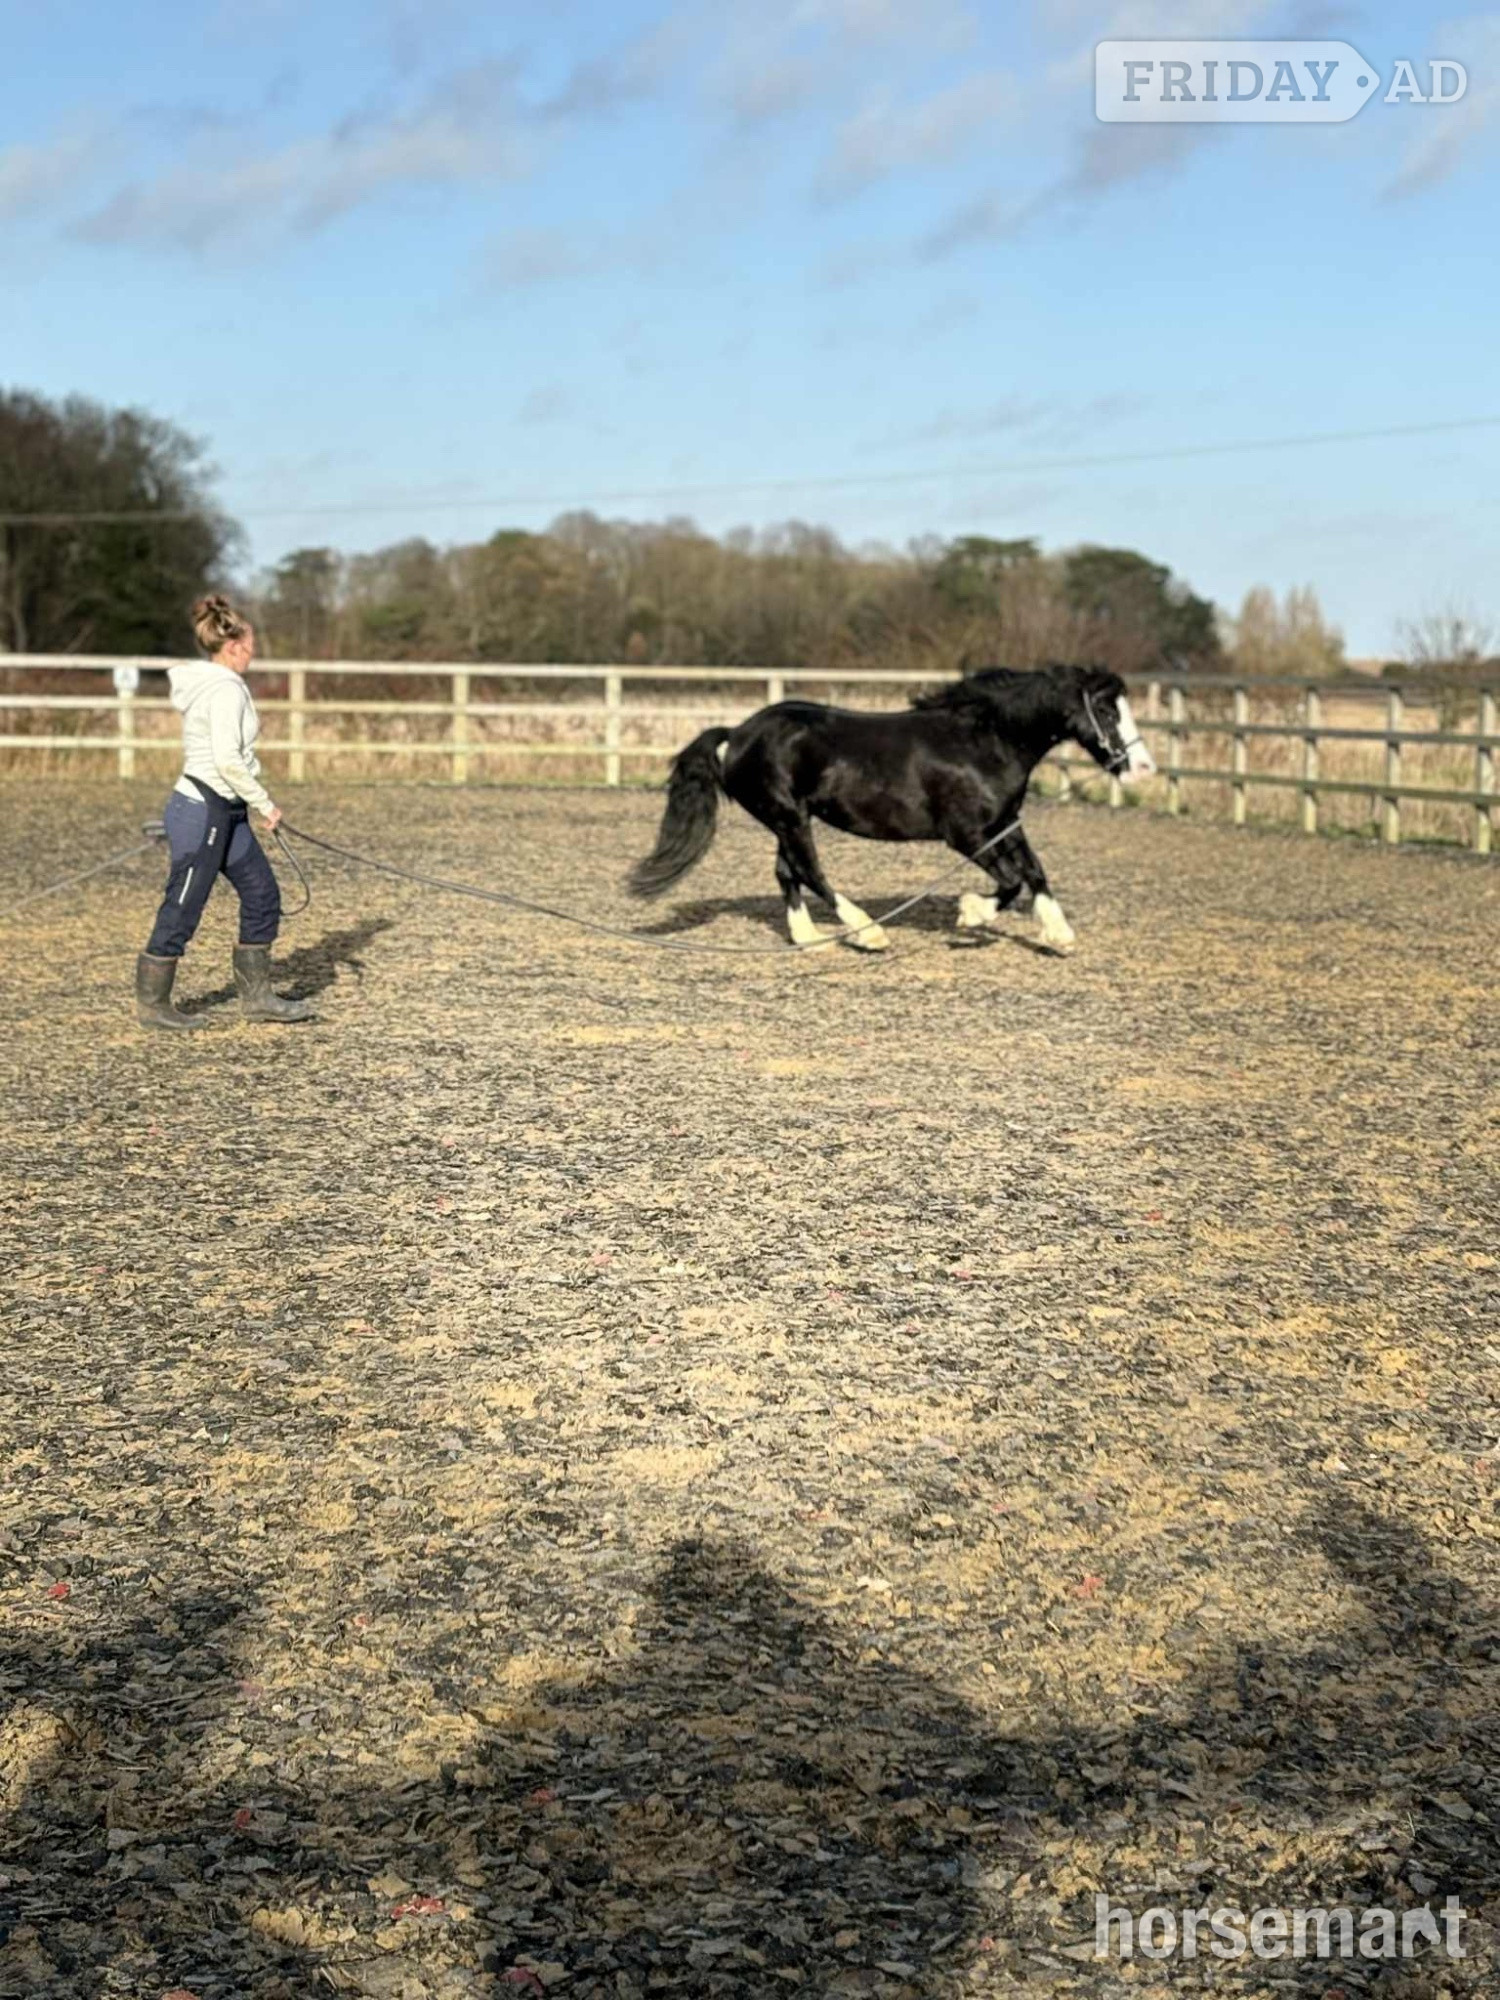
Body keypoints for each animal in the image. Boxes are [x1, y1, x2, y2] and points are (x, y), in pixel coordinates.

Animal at [627, 663, 1156, 953]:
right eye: (1106, 710)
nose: (1143, 768)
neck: (985, 742)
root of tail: (736, 734)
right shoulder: (966, 834)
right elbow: (1010, 881)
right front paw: (970, 913)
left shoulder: (1004, 824)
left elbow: (1035, 871)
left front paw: (1058, 935)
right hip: (788, 816)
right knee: (810, 871)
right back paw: (868, 933)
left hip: (788, 819)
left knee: (787, 872)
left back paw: (808, 937)